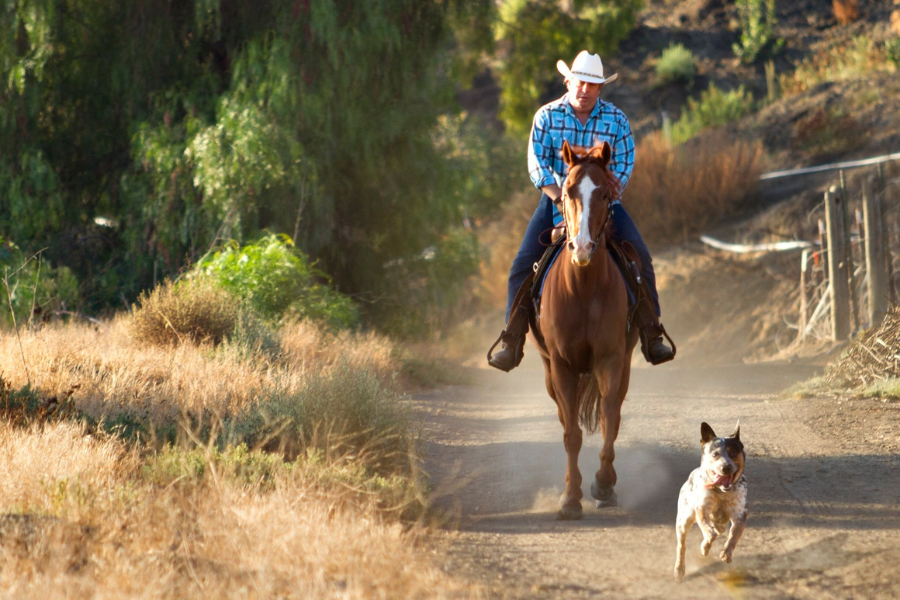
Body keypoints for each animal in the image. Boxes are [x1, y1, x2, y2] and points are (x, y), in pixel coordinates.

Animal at [530, 139, 640, 520]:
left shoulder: (611, 359)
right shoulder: (561, 366)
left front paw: (603, 485)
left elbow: (609, 417)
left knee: (613, 415)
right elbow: (571, 434)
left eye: (605, 194)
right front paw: (570, 498)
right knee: (567, 420)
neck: (582, 287)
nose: (582, 247)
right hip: (549, 371)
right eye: (566, 192)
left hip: (624, 365)